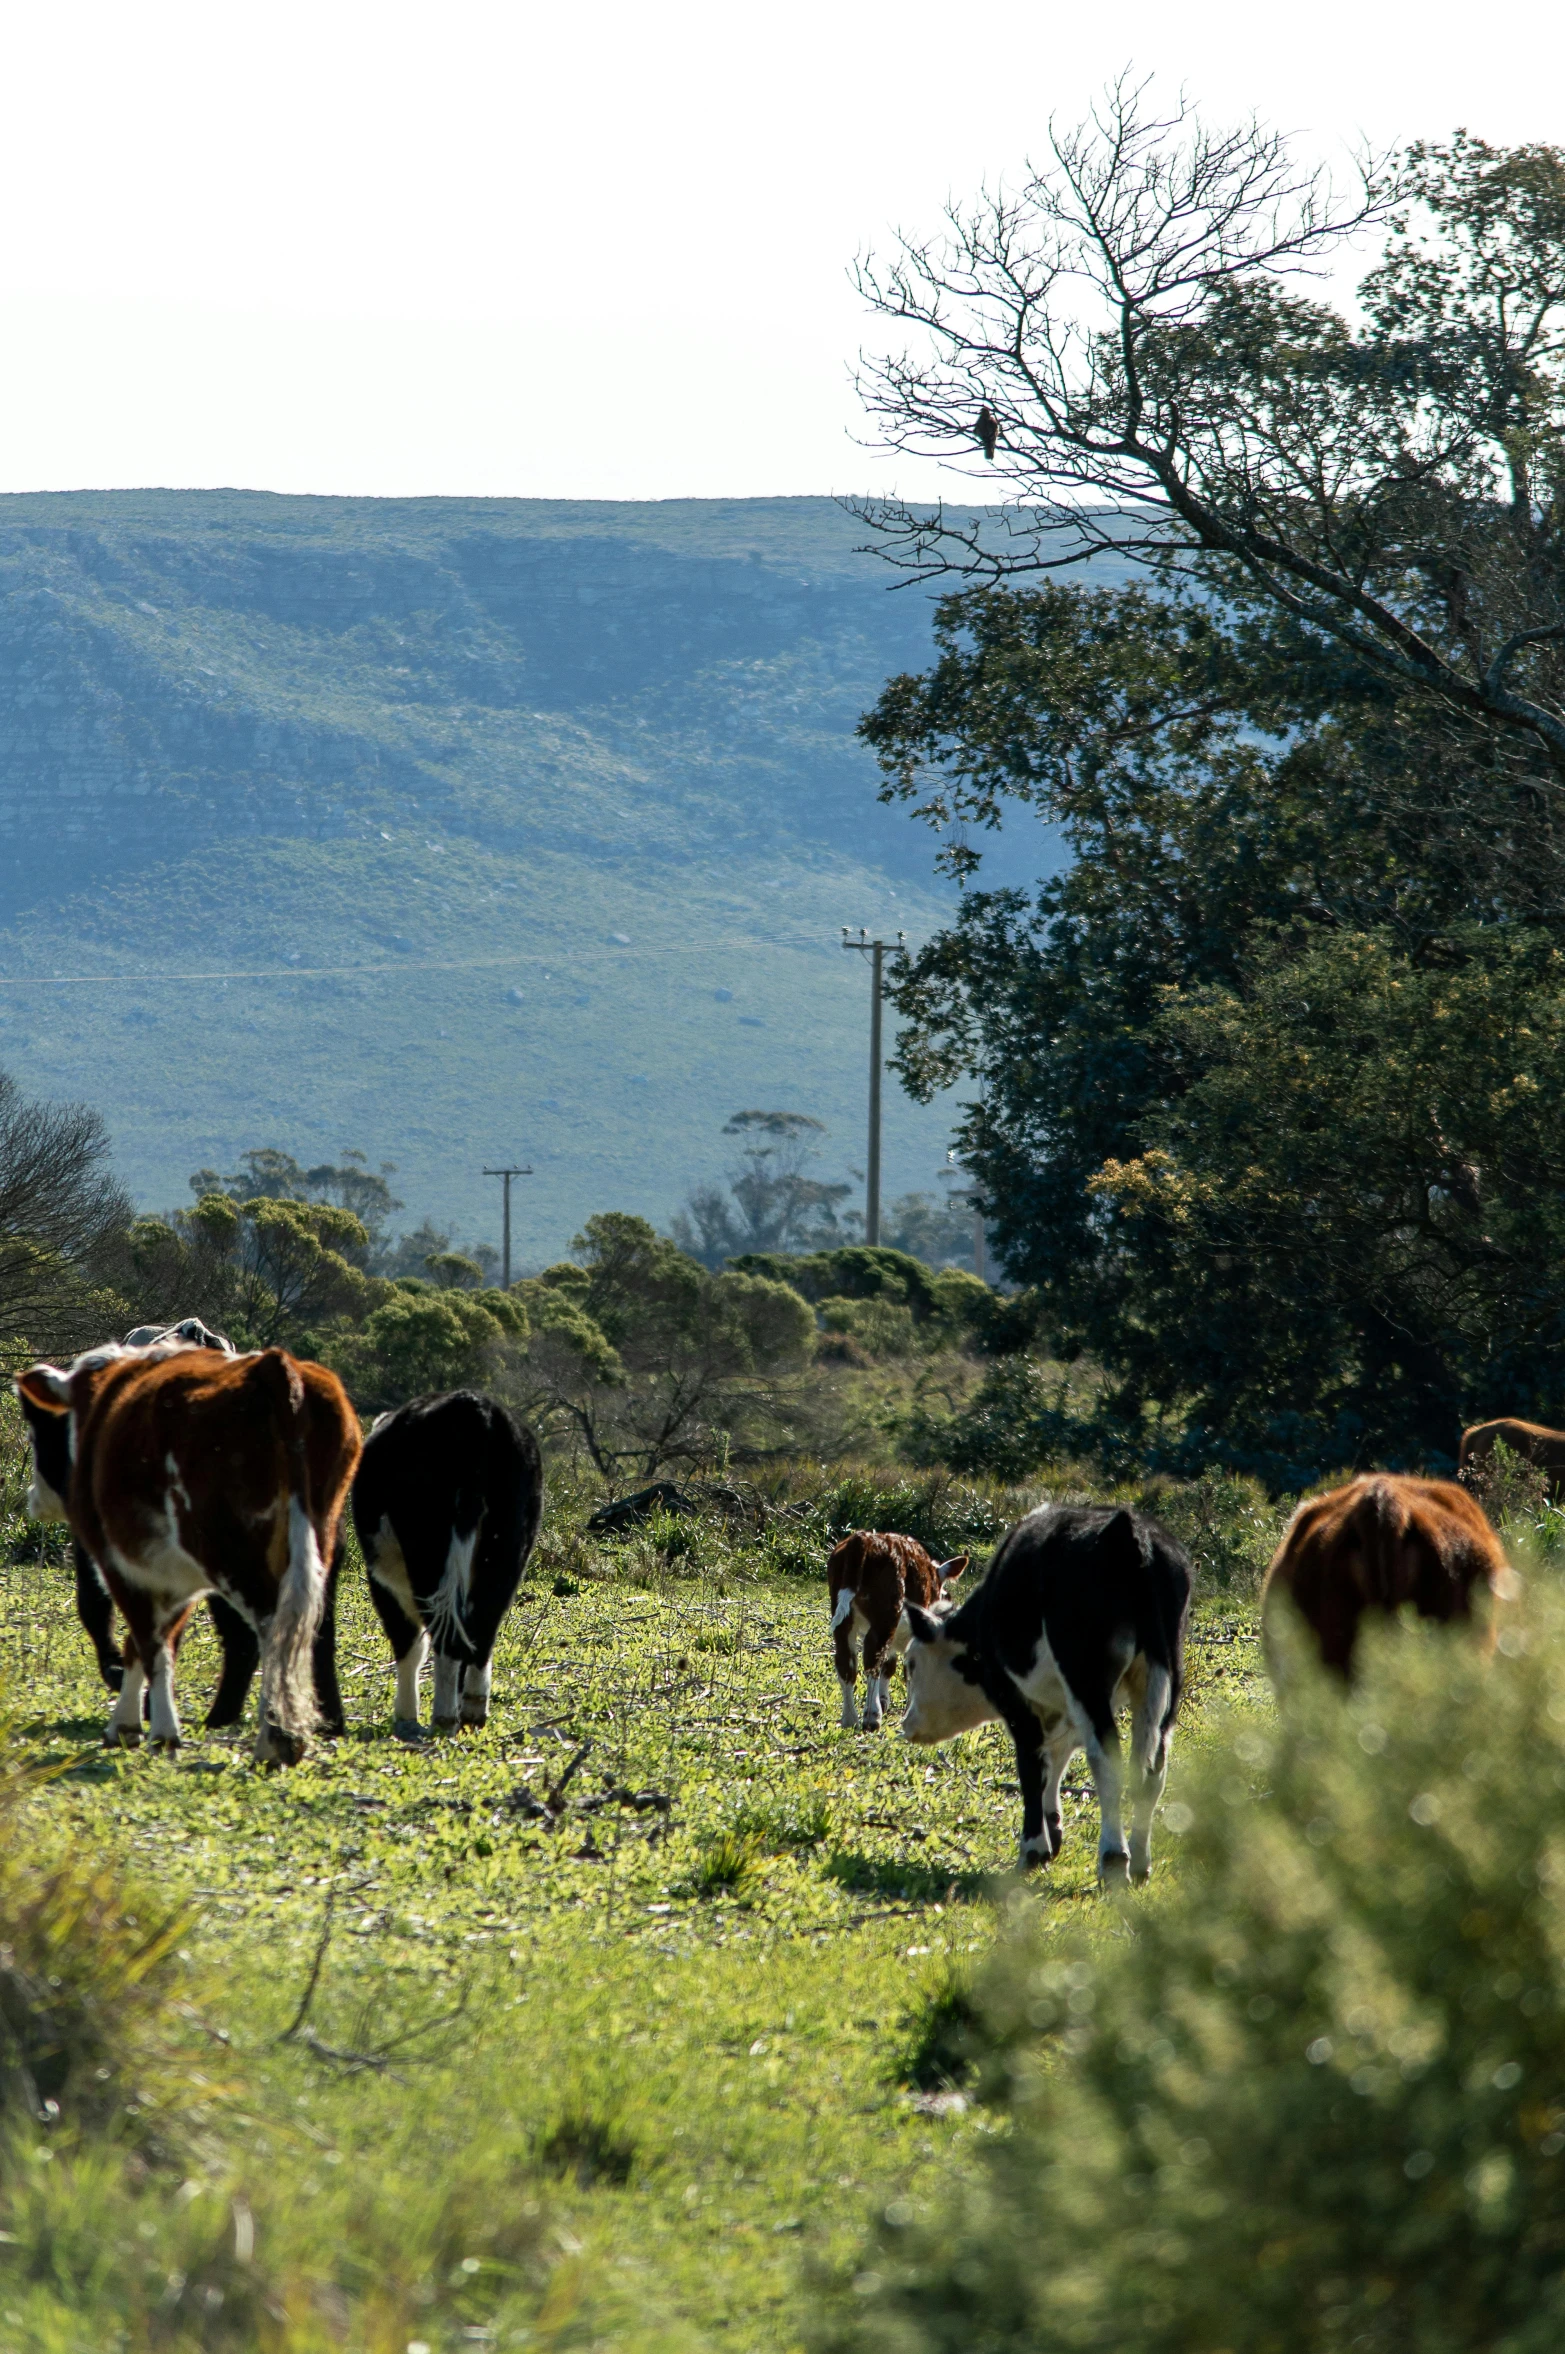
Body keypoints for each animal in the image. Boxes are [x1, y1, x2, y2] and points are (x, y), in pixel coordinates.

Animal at [12, 1346, 360, 1770]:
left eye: (37, 1432)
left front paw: (157, 1731)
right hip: (318, 1536)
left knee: (269, 1626)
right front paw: (129, 1725)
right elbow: (150, 1641)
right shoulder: (170, 1573)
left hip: (228, 1551)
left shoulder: (119, 1562)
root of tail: (274, 1365)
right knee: (308, 1626)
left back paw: (273, 1741)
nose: (34, 1499)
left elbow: (148, 1641)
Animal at [350, 1384, 545, 1741]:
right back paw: (472, 1710)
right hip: (508, 1550)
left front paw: (405, 1716)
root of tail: (474, 1408)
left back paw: (442, 1717)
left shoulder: (382, 1580)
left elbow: (409, 1644)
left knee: (446, 1635)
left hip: (427, 1549)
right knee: (482, 1628)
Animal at [823, 1525, 969, 1732]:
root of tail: (862, 1539)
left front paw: (884, 1700)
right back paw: (871, 1716)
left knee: (846, 1662)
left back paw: (850, 1719)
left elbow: (889, 1664)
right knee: (872, 1657)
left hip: (843, 1616)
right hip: (887, 1614)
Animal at [889, 1515, 1186, 1883]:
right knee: (1152, 1769)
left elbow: (1031, 1766)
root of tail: (1126, 1530)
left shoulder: (1016, 1701)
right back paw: (1141, 1861)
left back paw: (1114, 1858)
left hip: (1086, 1679)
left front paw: (1033, 1848)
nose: (907, 1724)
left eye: (911, 1664)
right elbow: (1054, 1758)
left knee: (1107, 1762)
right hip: (1165, 1681)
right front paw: (1053, 1832)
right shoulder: (1062, 1707)